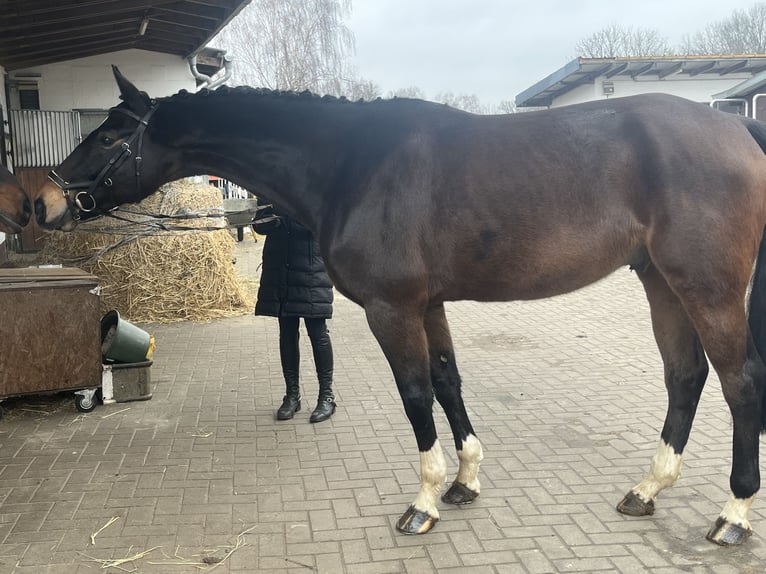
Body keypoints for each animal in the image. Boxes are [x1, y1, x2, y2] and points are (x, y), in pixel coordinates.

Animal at [33, 67, 766, 544]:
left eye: (109, 137)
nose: (45, 200)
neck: (351, 162)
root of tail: (735, 129)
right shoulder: (429, 304)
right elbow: (446, 382)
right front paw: (465, 482)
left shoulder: (391, 309)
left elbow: (415, 394)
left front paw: (424, 502)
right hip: (659, 281)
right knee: (686, 376)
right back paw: (647, 489)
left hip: (706, 288)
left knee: (738, 382)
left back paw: (732, 514)